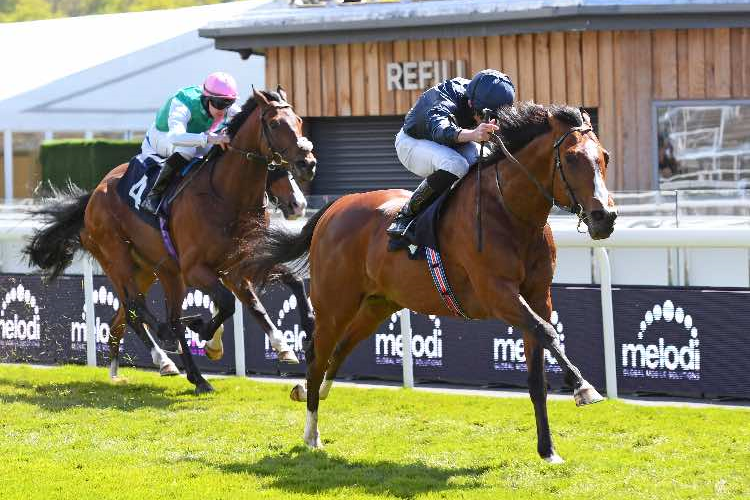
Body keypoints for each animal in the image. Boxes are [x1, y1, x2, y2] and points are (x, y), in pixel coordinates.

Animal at [24, 89, 318, 394]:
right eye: (274, 124)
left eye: (298, 121)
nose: (307, 164)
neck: (227, 196)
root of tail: (93, 195)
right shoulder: (195, 269)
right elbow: (227, 303)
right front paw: (207, 335)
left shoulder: (242, 262)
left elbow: (286, 286)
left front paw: (299, 336)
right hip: (120, 260)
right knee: (143, 310)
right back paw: (175, 357)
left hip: (153, 270)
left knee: (128, 316)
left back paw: (176, 369)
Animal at [250, 103, 620, 462]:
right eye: (571, 158)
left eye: (604, 156)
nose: (605, 217)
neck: (512, 211)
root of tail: (334, 208)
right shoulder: (498, 293)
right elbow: (547, 332)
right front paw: (584, 387)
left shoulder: (537, 295)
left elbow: (538, 372)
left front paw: (548, 450)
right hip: (334, 304)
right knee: (317, 354)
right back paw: (311, 433)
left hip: (377, 305)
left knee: (339, 349)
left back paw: (309, 393)